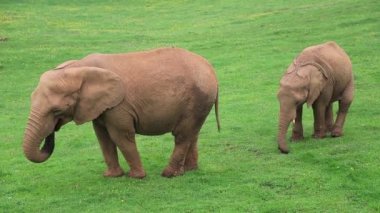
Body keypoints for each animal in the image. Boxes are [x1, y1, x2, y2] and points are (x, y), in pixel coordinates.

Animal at [23, 47, 220, 178]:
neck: (79, 66)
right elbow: (102, 137)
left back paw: (169, 174)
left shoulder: (118, 105)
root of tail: (211, 69)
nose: (53, 130)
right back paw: (189, 170)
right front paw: (111, 176)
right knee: (192, 134)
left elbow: (121, 136)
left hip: (198, 99)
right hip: (198, 102)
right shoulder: (100, 107)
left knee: (182, 135)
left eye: (57, 110)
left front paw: (136, 177)